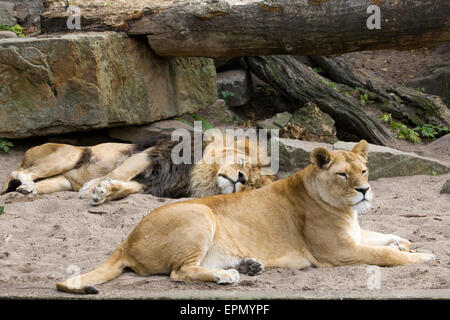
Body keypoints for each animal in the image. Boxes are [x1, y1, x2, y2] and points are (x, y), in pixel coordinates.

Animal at [0, 133, 274, 205]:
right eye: (244, 165)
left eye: (251, 184)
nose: (241, 178)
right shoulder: (152, 154)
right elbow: (118, 173)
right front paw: (92, 188)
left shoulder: (152, 184)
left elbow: (124, 186)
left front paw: (103, 193)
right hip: (68, 155)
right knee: (16, 173)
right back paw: (25, 183)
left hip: (62, 180)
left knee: (38, 183)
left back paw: (27, 191)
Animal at [56, 141, 436, 296]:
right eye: (343, 174)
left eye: (364, 170)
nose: (365, 190)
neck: (345, 209)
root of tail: (126, 240)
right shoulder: (339, 252)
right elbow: (383, 254)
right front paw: (420, 256)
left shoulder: (354, 235)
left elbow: (382, 234)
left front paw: (406, 243)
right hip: (200, 213)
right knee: (181, 272)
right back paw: (227, 276)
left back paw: (248, 265)